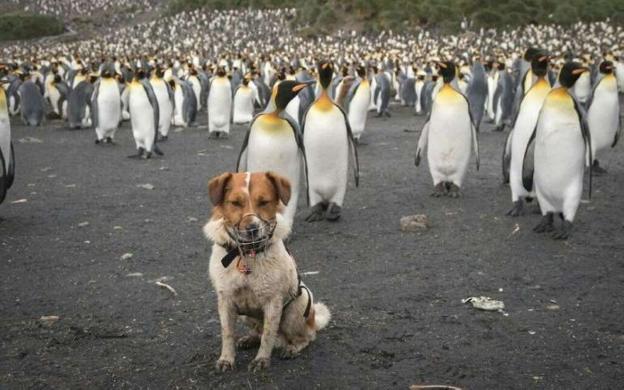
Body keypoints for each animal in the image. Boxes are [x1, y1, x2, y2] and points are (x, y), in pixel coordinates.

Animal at [204, 171, 332, 372]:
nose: (252, 229)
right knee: (258, 330)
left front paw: (261, 360)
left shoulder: (273, 302)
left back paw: (292, 347)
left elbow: (268, 335)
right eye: (235, 203)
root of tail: (313, 320)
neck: (247, 254)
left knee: (306, 336)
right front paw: (226, 359)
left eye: (264, 202)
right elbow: (227, 334)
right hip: (246, 316)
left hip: (297, 307)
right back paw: (249, 339)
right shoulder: (225, 300)